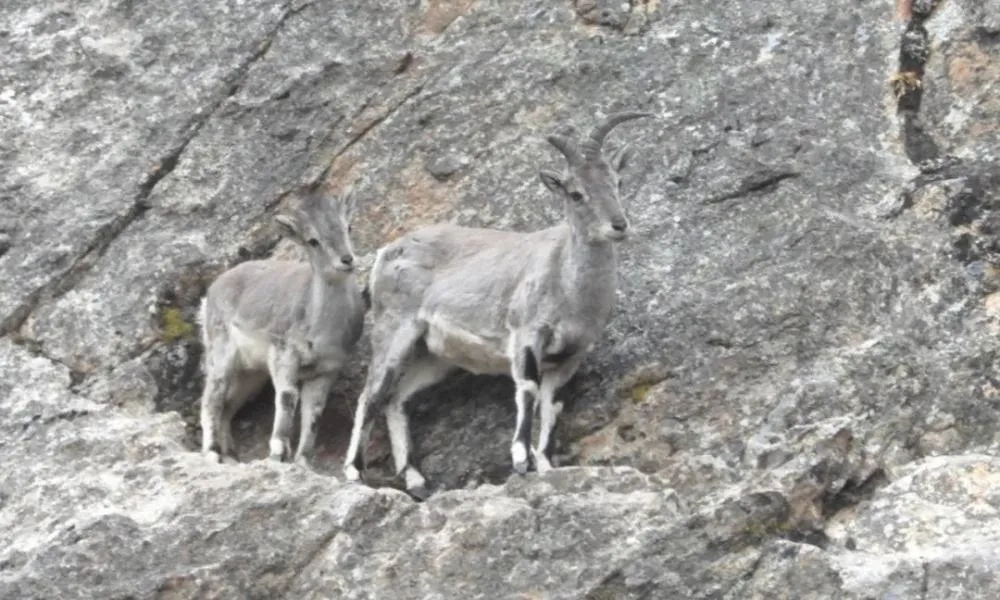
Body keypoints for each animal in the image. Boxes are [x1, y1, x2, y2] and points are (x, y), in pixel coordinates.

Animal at [197, 184, 366, 465]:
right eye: (312, 240)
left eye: (349, 226)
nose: (346, 259)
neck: (322, 330)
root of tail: (210, 293)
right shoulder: (284, 353)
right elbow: (287, 397)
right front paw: (278, 450)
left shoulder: (326, 370)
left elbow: (314, 412)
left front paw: (303, 460)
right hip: (221, 353)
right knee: (212, 399)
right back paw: (211, 452)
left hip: (251, 375)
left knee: (228, 407)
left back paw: (231, 455)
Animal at [342, 112, 652, 498]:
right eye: (576, 193)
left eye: (618, 182)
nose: (619, 225)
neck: (569, 286)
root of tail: (387, 252)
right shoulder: (527, 335)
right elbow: (528, 389)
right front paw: (521, 458)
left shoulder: (571, 355)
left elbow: (552, 404)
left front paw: (545, 463)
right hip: (395, 328)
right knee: (371, 394)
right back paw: (354, 471)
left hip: (434, 355)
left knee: (396, 399)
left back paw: (415, 479)